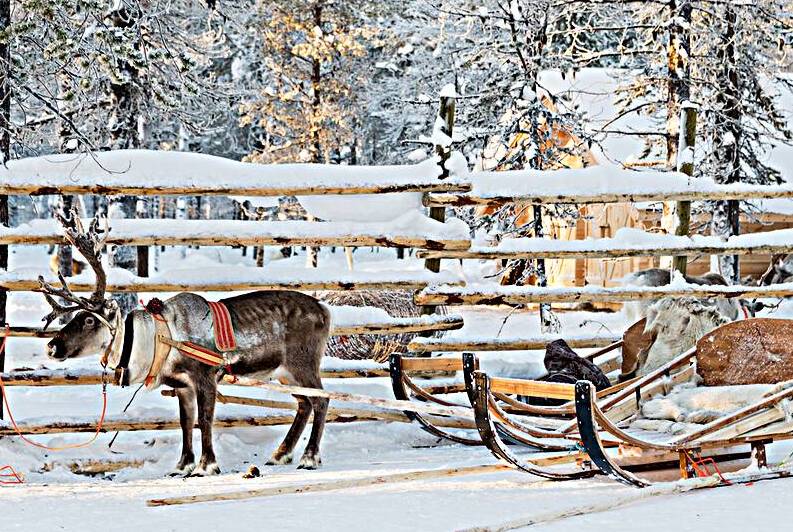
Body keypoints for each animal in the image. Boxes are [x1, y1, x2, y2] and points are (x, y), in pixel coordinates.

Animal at [40, 207, 332, 476]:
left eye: (89, 319)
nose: (51, 346)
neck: (160, 338)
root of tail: (324, 310)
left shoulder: (205, 377)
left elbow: (204, 420)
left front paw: (206, 465)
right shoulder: (182, 386)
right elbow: (186, 422)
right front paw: (183, 465)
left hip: (303, 364)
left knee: (321, 400)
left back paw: (309, 458)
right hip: (284, 373)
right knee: (304, 403)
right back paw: (281, 454)